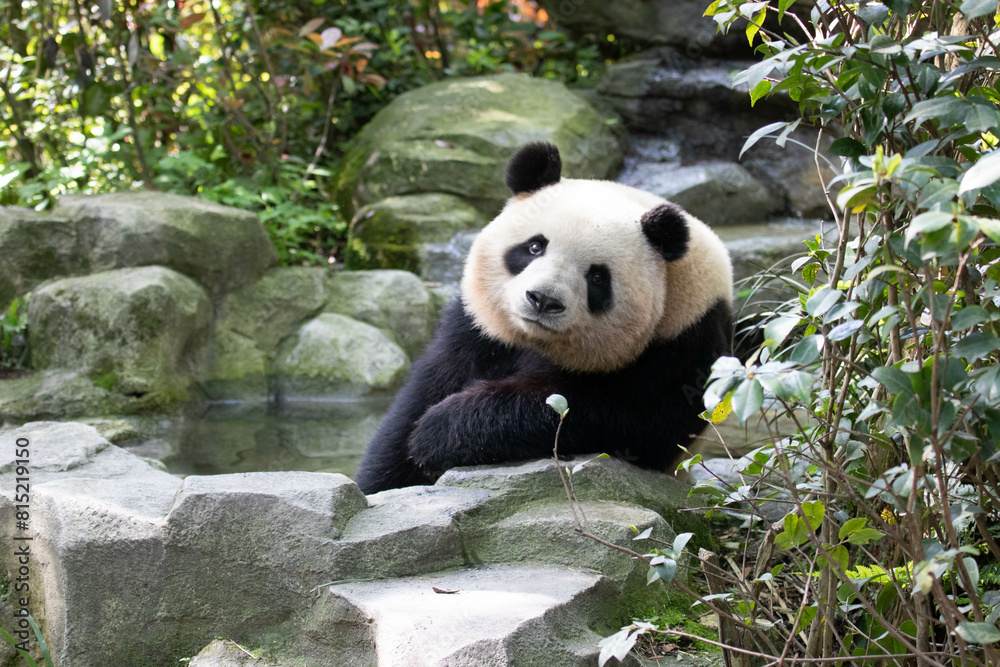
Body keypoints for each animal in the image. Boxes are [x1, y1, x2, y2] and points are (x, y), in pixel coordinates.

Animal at [354, 142, 733, 495]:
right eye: (535, 247)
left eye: (597, 277)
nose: (543, 299)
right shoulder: (475, 331)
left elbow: (619, 418)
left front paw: (438, 433)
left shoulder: (683, 343)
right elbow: (419, 401)